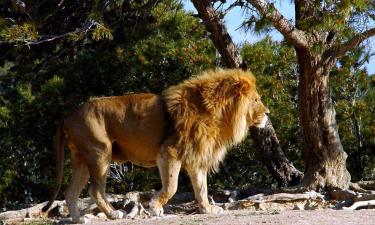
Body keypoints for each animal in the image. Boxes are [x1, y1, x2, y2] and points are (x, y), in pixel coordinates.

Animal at [42, 68, 268, 223]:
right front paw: (154, 207)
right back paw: (115, 213)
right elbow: (172, 186)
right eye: (256, 99)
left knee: (71, 192)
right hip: (100, 153)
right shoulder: (169, 152)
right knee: (95, 190)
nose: (268, 113)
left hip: (82, 158)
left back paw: (79, 219)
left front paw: (207, 209)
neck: (219, 113)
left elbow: (201, 187)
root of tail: (67, 116)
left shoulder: (196, 155)